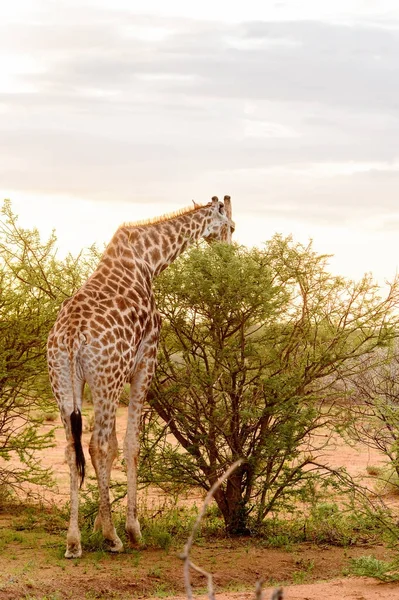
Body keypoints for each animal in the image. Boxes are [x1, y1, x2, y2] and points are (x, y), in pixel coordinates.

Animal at [47, 196, 234, 556]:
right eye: (231, 226)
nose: (229, 254)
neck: (150, 260)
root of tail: (73, 337)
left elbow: (115, 446)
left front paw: (98, 524)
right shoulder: (146, 359)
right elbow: (130, 444)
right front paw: (130, 529)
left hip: (62, 382)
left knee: (72, 449)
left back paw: (73, 541)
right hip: (106, 378)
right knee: (96, 445)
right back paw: (114, 539)